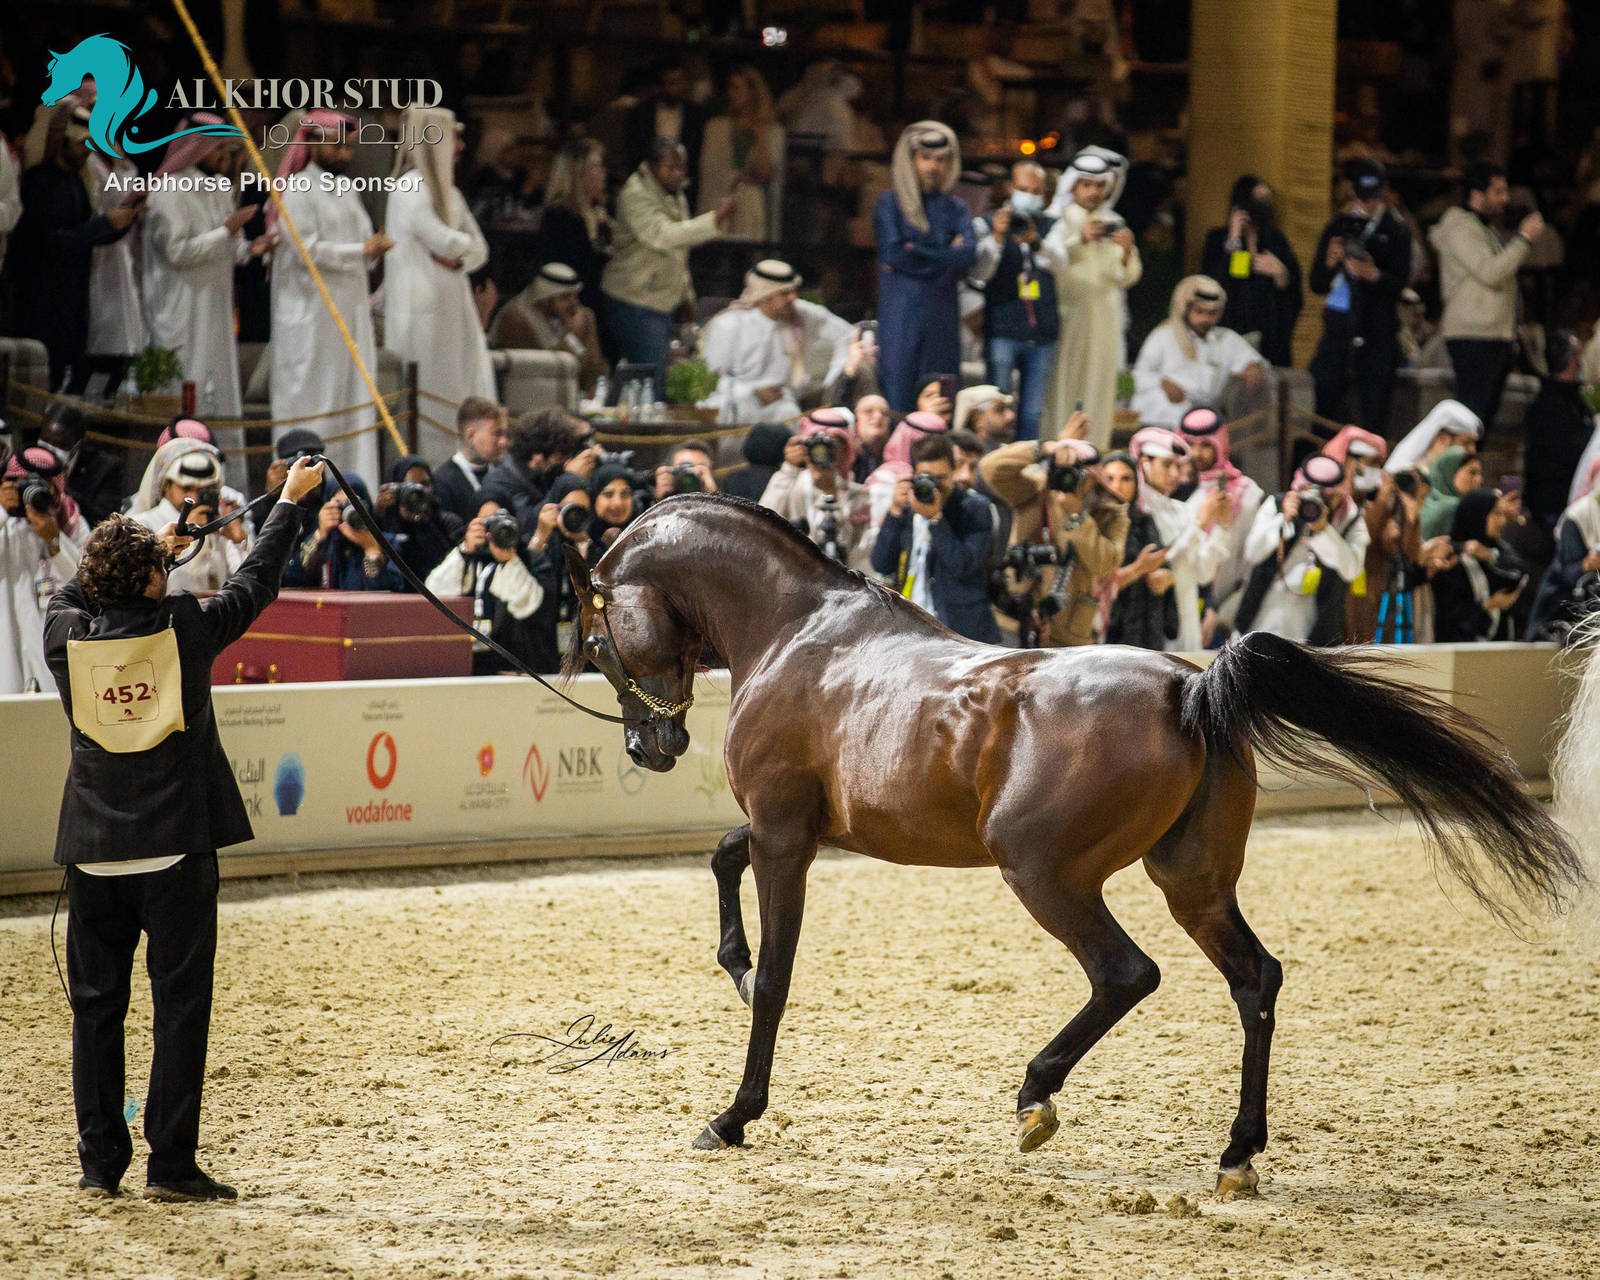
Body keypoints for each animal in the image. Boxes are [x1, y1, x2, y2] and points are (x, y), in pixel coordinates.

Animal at [560, 493, 1585, 1195]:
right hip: (1192, 883)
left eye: (597, 640)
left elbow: (776, 975)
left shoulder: (787, 833)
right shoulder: (803, 829)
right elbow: (719, 858)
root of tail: (1190, 685)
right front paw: (730, 966)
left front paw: (734, 1114)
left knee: (1127, 974)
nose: (651, 748)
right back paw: (1235, 1155)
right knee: (1255, 980)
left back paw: (1035, 1099)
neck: (798, 633)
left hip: (1045, 873)